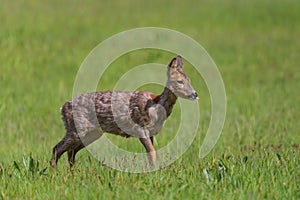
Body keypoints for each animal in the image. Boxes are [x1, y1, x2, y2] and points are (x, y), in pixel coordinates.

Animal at [50, 55, 198, 169]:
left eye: (190, 80)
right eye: (179, 81)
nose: (195, 94)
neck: (155, 105)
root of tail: (62, 108)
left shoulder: (150, 131)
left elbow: (151, 153)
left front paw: (153, 169)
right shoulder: (140, 127)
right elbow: (152, 152)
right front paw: (155, 171)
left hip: (91, 132)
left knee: (70, 152)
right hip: (76, 128)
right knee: (57, 148)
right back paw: (54, 172)